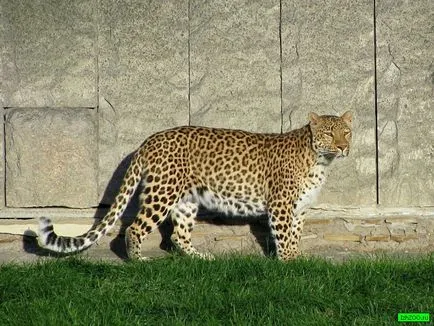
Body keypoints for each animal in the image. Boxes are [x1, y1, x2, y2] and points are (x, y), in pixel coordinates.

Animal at [38, 111, 352, 262]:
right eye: (328, 133)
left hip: (186, 201)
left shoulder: (299, 208)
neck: (321, 161)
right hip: (162, 193)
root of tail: (148, 141)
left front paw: (299, 259)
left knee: (179, 235)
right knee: (134, 228)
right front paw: (288, 263)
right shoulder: (281, 205)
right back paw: (139, 262)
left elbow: (296, 235)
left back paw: (201, 258)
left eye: (346, 132)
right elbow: (284, 236)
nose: (343, 147)